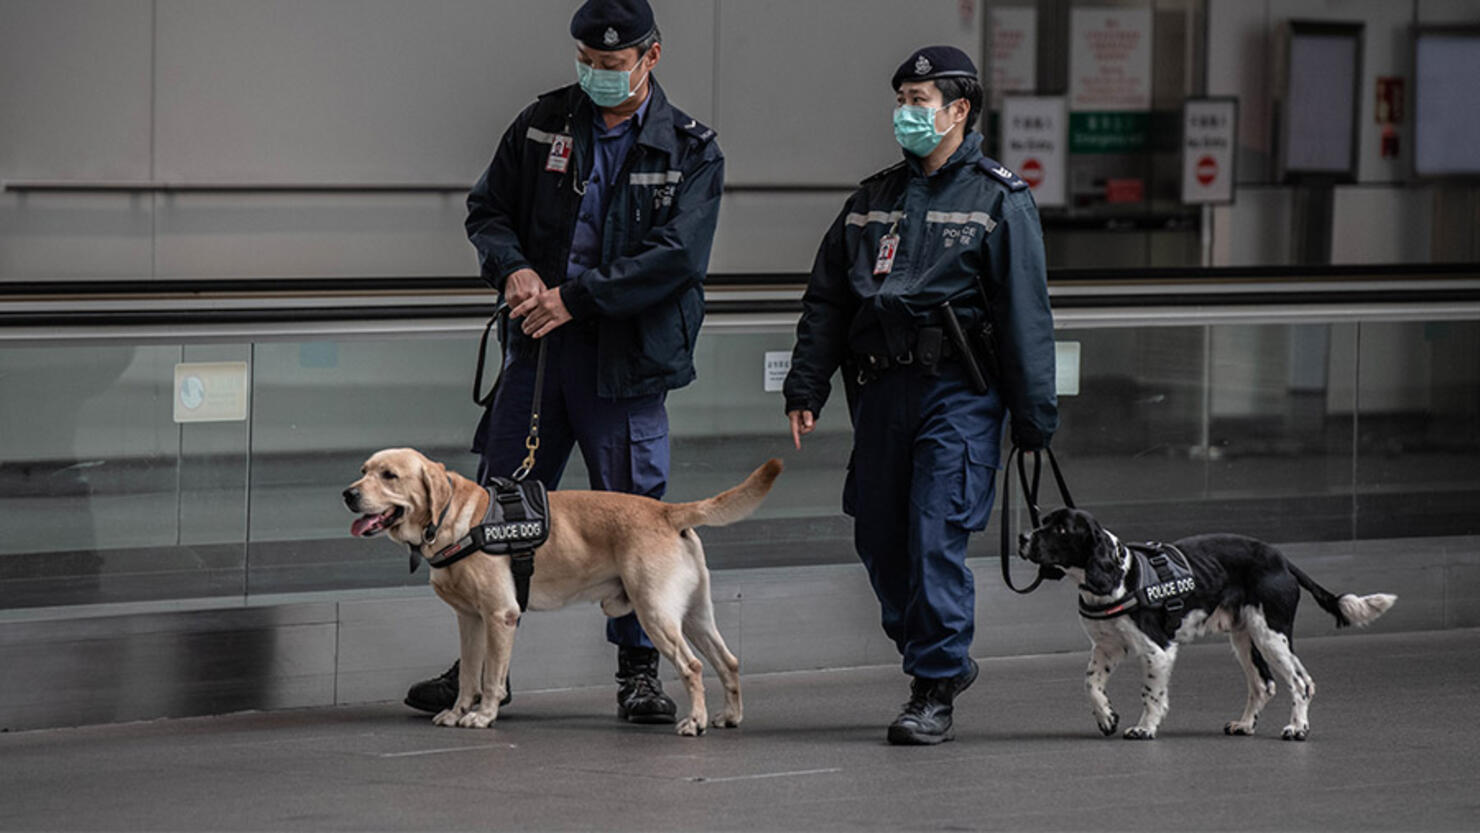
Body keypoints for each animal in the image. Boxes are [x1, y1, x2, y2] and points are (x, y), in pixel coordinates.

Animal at [340, 449, 781, 736]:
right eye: (363, 471)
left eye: (389, 475)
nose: (348, 493)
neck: (454, 520)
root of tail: (667, 510)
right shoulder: (470, 620)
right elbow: (468, 674)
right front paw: (457, 710)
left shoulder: (500, 616)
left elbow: (492, 676)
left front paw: (483, 715)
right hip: (694, 616)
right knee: (728, 662)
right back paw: (730, 716)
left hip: (655, 613)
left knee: (693, 666)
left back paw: (696, 721)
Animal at [1024, 508, 1391, 742]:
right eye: (1043, 522)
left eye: (1061, 530)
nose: (1022, 537)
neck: (1122, 576)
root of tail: (1282, 559)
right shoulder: (1107, 647)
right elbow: (1091, 683)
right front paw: (1106, 717)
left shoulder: (1158, 651)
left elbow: (1151, 695)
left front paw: (1144, 729)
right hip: (1246, 638)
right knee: (1266, 685)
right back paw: (1245, 725)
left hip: (1270, 634)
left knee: (1300, 683)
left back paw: (1297, 729)